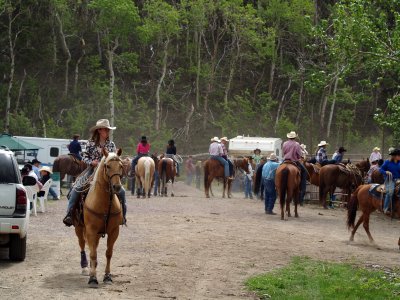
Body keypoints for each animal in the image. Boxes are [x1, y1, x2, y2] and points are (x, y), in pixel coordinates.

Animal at [73, 149, 123, 288]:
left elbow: (108, 253)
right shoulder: (91, 230)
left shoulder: (114, 231)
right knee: (83, 245)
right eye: (107, 166)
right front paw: (93, 278)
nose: (117, 187)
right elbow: (93, 253)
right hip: (79, 228)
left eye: (121, 166)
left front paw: (107, 276)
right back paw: (85, 268)